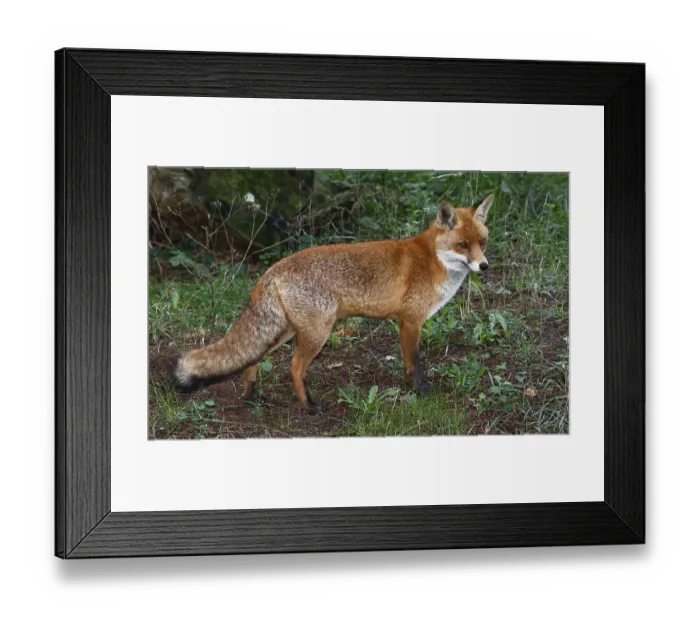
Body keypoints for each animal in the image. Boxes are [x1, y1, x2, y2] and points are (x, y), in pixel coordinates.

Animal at [173, 194, 494, 414]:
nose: (484, 266)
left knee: (254, 358)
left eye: (483, 242)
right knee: (293, 367)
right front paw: (423, 392)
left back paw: (253, 395)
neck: (434, 260)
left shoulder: (406, 324)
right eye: (462, 245)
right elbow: (415, 363)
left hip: (287, 331)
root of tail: (272, 269)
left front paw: (409, 391)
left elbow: (407, 364)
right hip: (317, 333)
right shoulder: (411, 321)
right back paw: (309, 407)